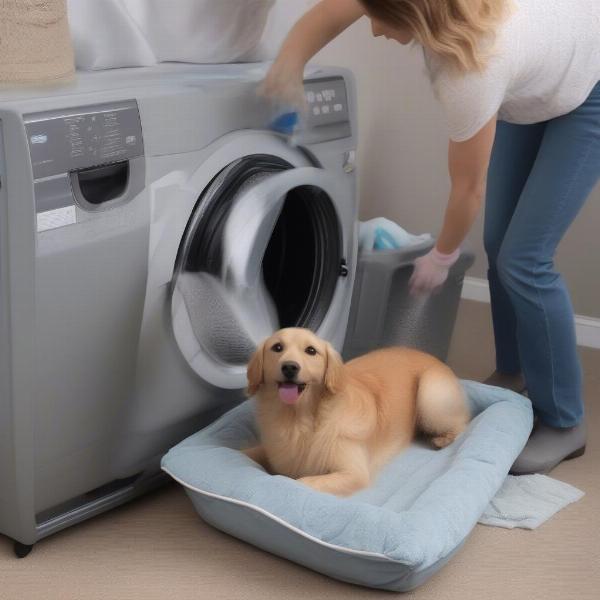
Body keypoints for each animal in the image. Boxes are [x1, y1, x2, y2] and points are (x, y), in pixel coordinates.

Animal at [244, 328, 468, 496]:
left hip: (430, 394)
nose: (290, 367)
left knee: (463, 421)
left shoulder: (353, 473)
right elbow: (247, 452)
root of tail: (433, 358)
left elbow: (299, 482)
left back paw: (443, 438)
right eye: (277, 347)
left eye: (311, 350)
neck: (298, 418)